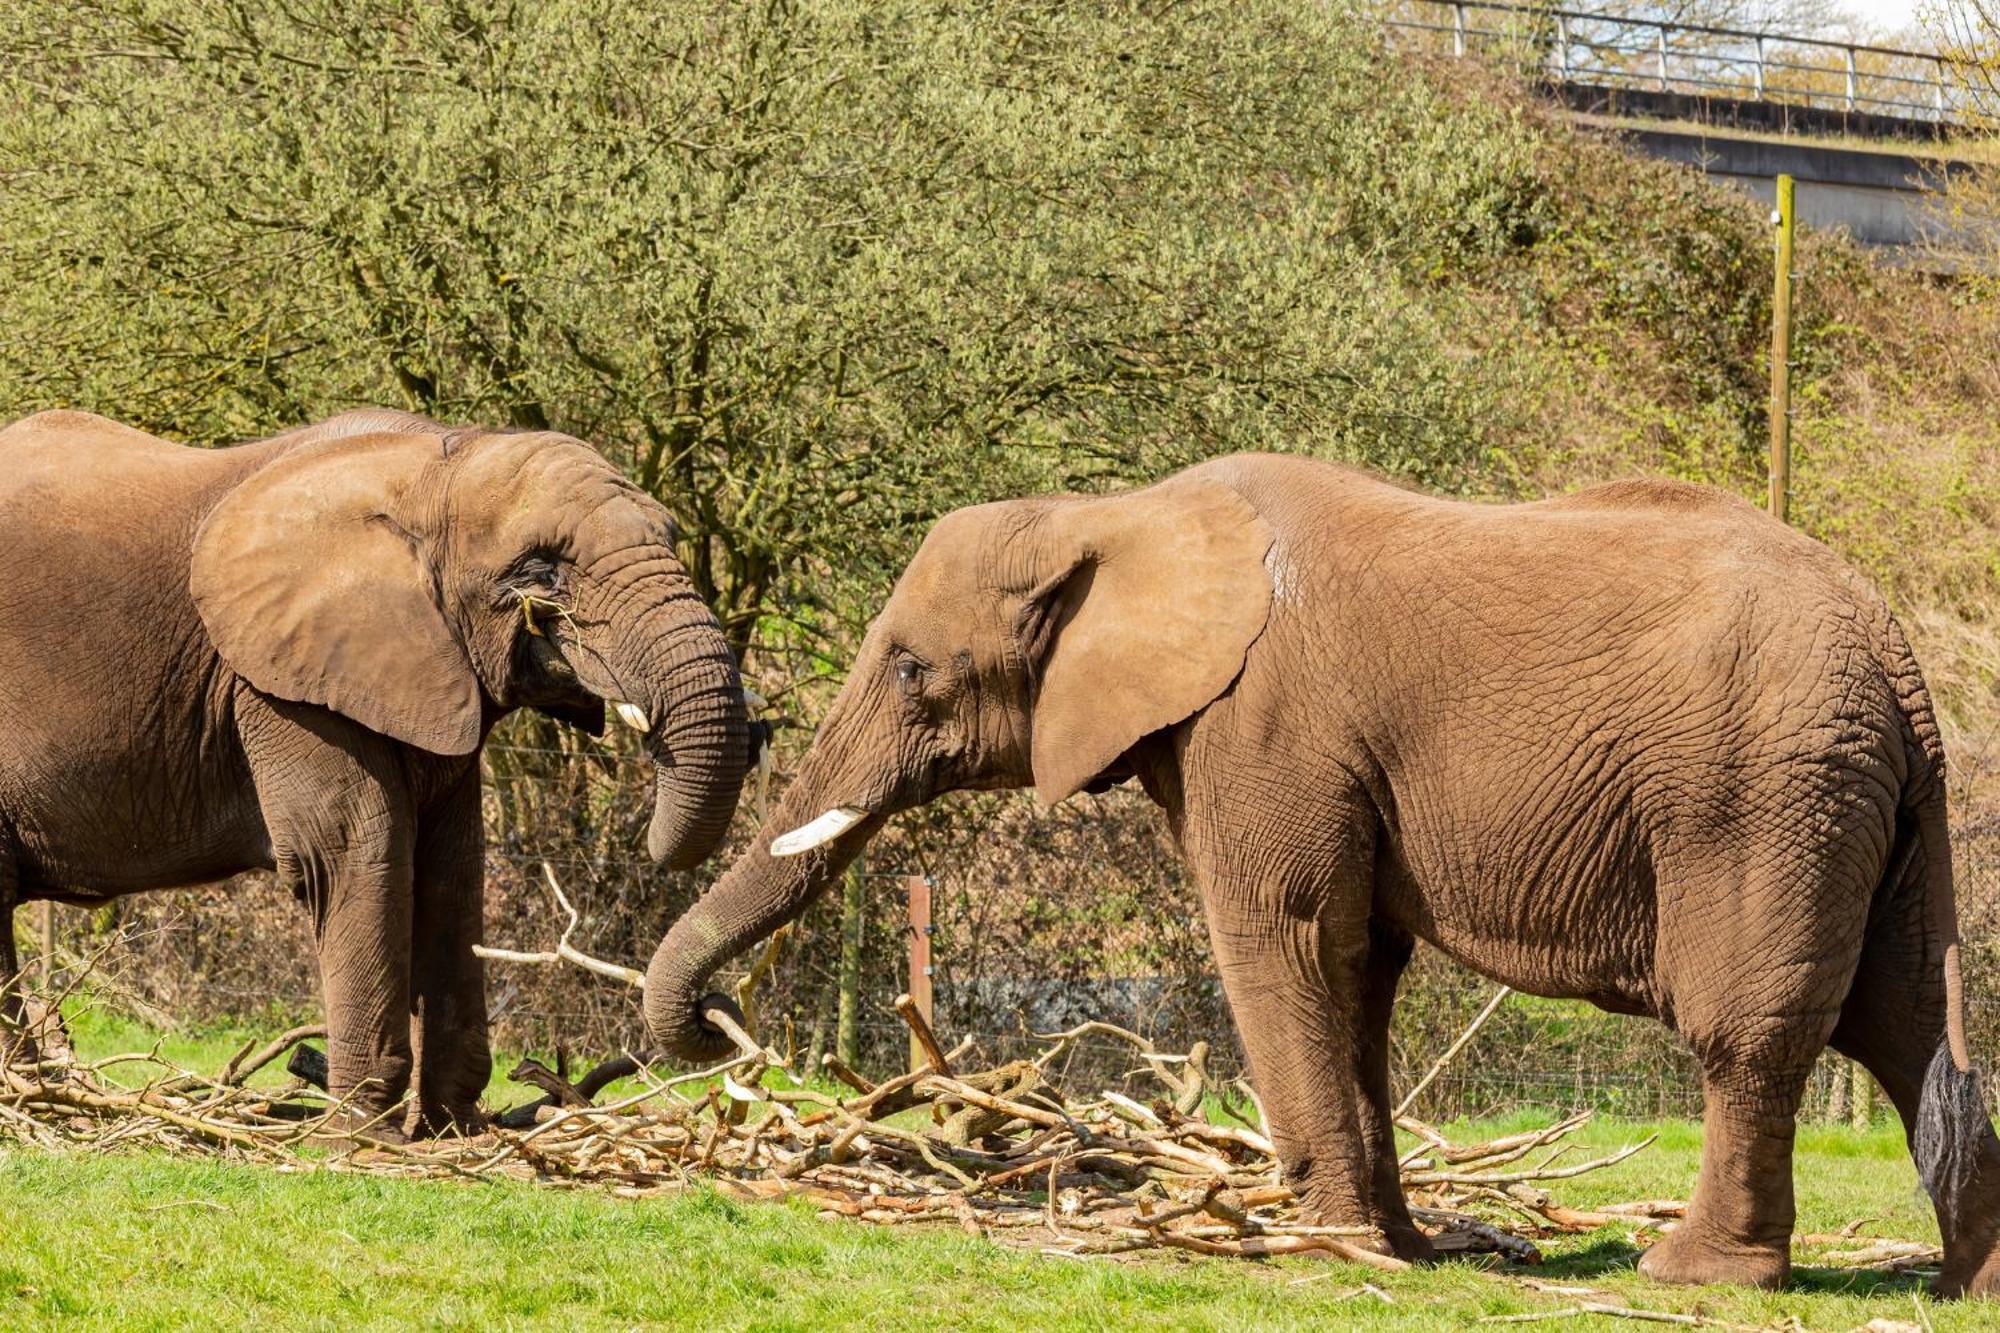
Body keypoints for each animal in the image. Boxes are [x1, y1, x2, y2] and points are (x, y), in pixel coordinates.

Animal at [0, 408, 752, 1128]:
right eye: (541, 570)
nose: (715, 1010)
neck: (437, 461)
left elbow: (451, 865)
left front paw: (456, 1130)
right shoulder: (283, 682)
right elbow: (352, 851)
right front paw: (364, 1135)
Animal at [640, 452, 2000, 1288]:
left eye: (915, 670)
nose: (714, 1032)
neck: (1116, 513)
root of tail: (1897, 655)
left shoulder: (1262, 724)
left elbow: (1281, 934)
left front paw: (1334, 1247)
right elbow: (1358, 969)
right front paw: (1396, 1245)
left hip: (1756, 795)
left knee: (1748, 1030)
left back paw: (1690, 1273)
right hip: (1851, 797)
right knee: (1901, 1022)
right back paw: (1964, 1280)